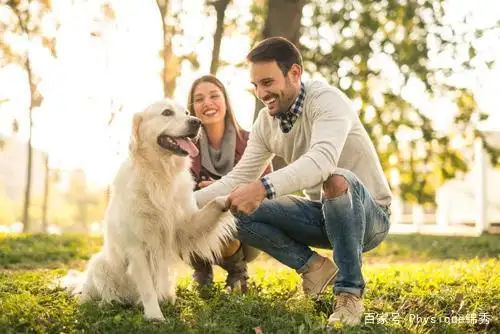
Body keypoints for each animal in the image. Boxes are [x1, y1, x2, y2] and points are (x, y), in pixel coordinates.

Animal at [62, 99, 234, 320]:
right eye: (167, 113)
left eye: (187, 112)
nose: (197, 122)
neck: (160, 173)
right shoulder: (137, 246)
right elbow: (147, 287)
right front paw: (155, 316)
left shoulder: (184, 226)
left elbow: (211, 208)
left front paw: (231, 198)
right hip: (99, 264)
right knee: (91, 295)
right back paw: (105, 303)